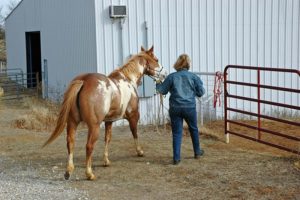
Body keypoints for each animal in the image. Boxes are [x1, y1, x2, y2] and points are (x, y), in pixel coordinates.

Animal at [43, 46, 168, 180]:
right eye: (156, 59)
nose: (165, 73)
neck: (128, 80)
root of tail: (83, 80)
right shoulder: (134, 116)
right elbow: (135, 133)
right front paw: (139, 151)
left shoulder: (109, 121)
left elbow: (107, 139)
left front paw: (106, 161)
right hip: (94, 126)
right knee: (89, 146)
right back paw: (89, 173)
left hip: (72, 122)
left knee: (70, 143)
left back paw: (68, 171)